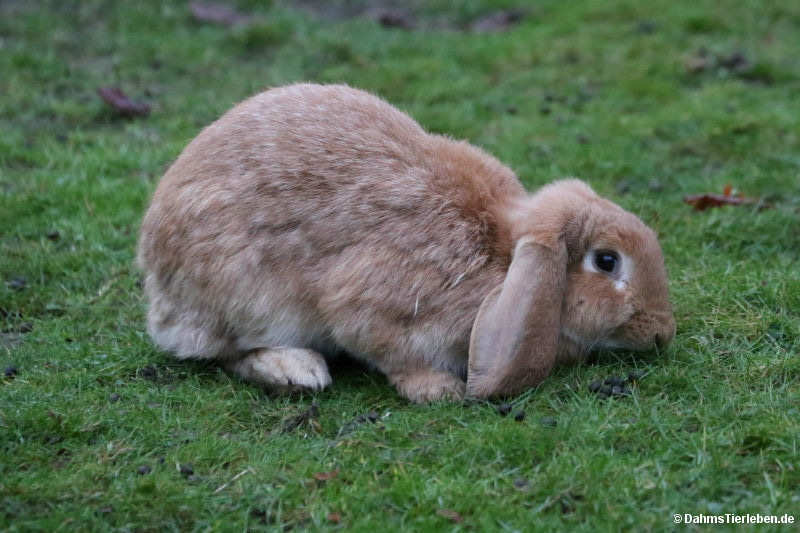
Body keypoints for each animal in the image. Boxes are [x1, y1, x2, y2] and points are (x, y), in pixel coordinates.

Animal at [139, 83, 676, 402]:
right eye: (606, 261)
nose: (662, 333)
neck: (503, 254)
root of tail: (155, 270)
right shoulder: (377, 309)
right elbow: (390, 350)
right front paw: (440, 389)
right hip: (250, 298)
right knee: (223, 352)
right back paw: (297, 370)